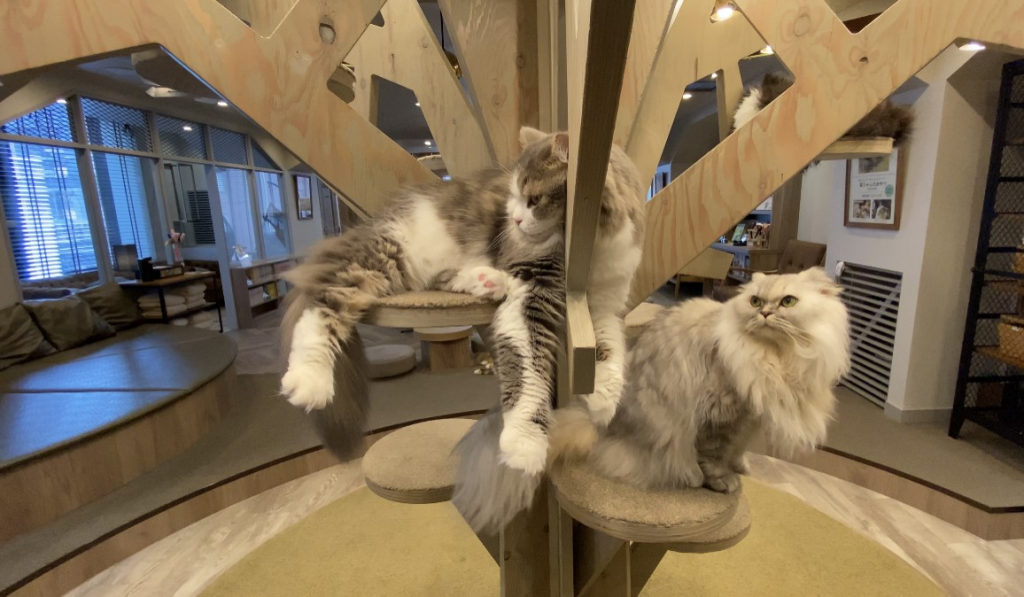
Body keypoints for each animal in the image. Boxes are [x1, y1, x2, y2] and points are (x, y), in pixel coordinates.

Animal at [552, 270, 847, 495]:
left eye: (787, 302)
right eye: (755, 301)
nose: (764, 313)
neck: (773, 358)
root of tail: (601, 427)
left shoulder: (751, 418)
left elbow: (739, 449)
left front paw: (740, 467)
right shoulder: (721, 414)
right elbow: (713, 457)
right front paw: (722, 481)